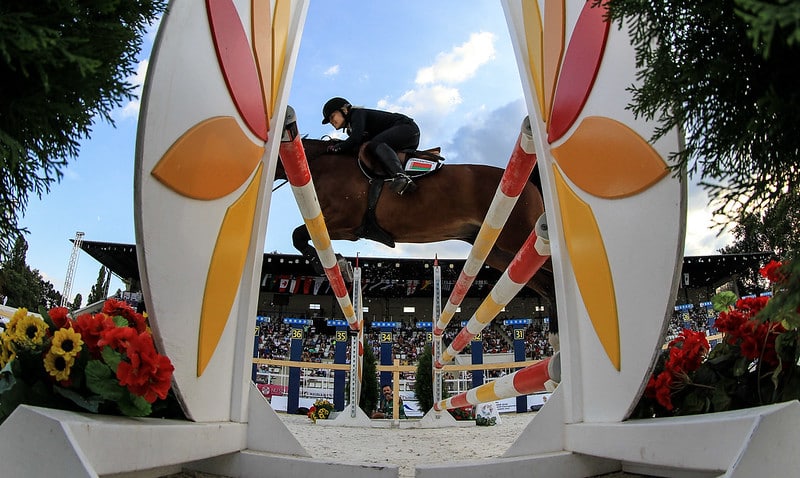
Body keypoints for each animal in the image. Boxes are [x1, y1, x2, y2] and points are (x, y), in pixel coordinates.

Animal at [276, 136, 556, 330]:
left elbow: (298, 235)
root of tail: (530, 183)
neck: (320, 164)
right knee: (546, 285)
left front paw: (335, 265)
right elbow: (300, 236)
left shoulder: (344, 222)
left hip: (518, 237)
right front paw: (339, 265)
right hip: (499, 253)